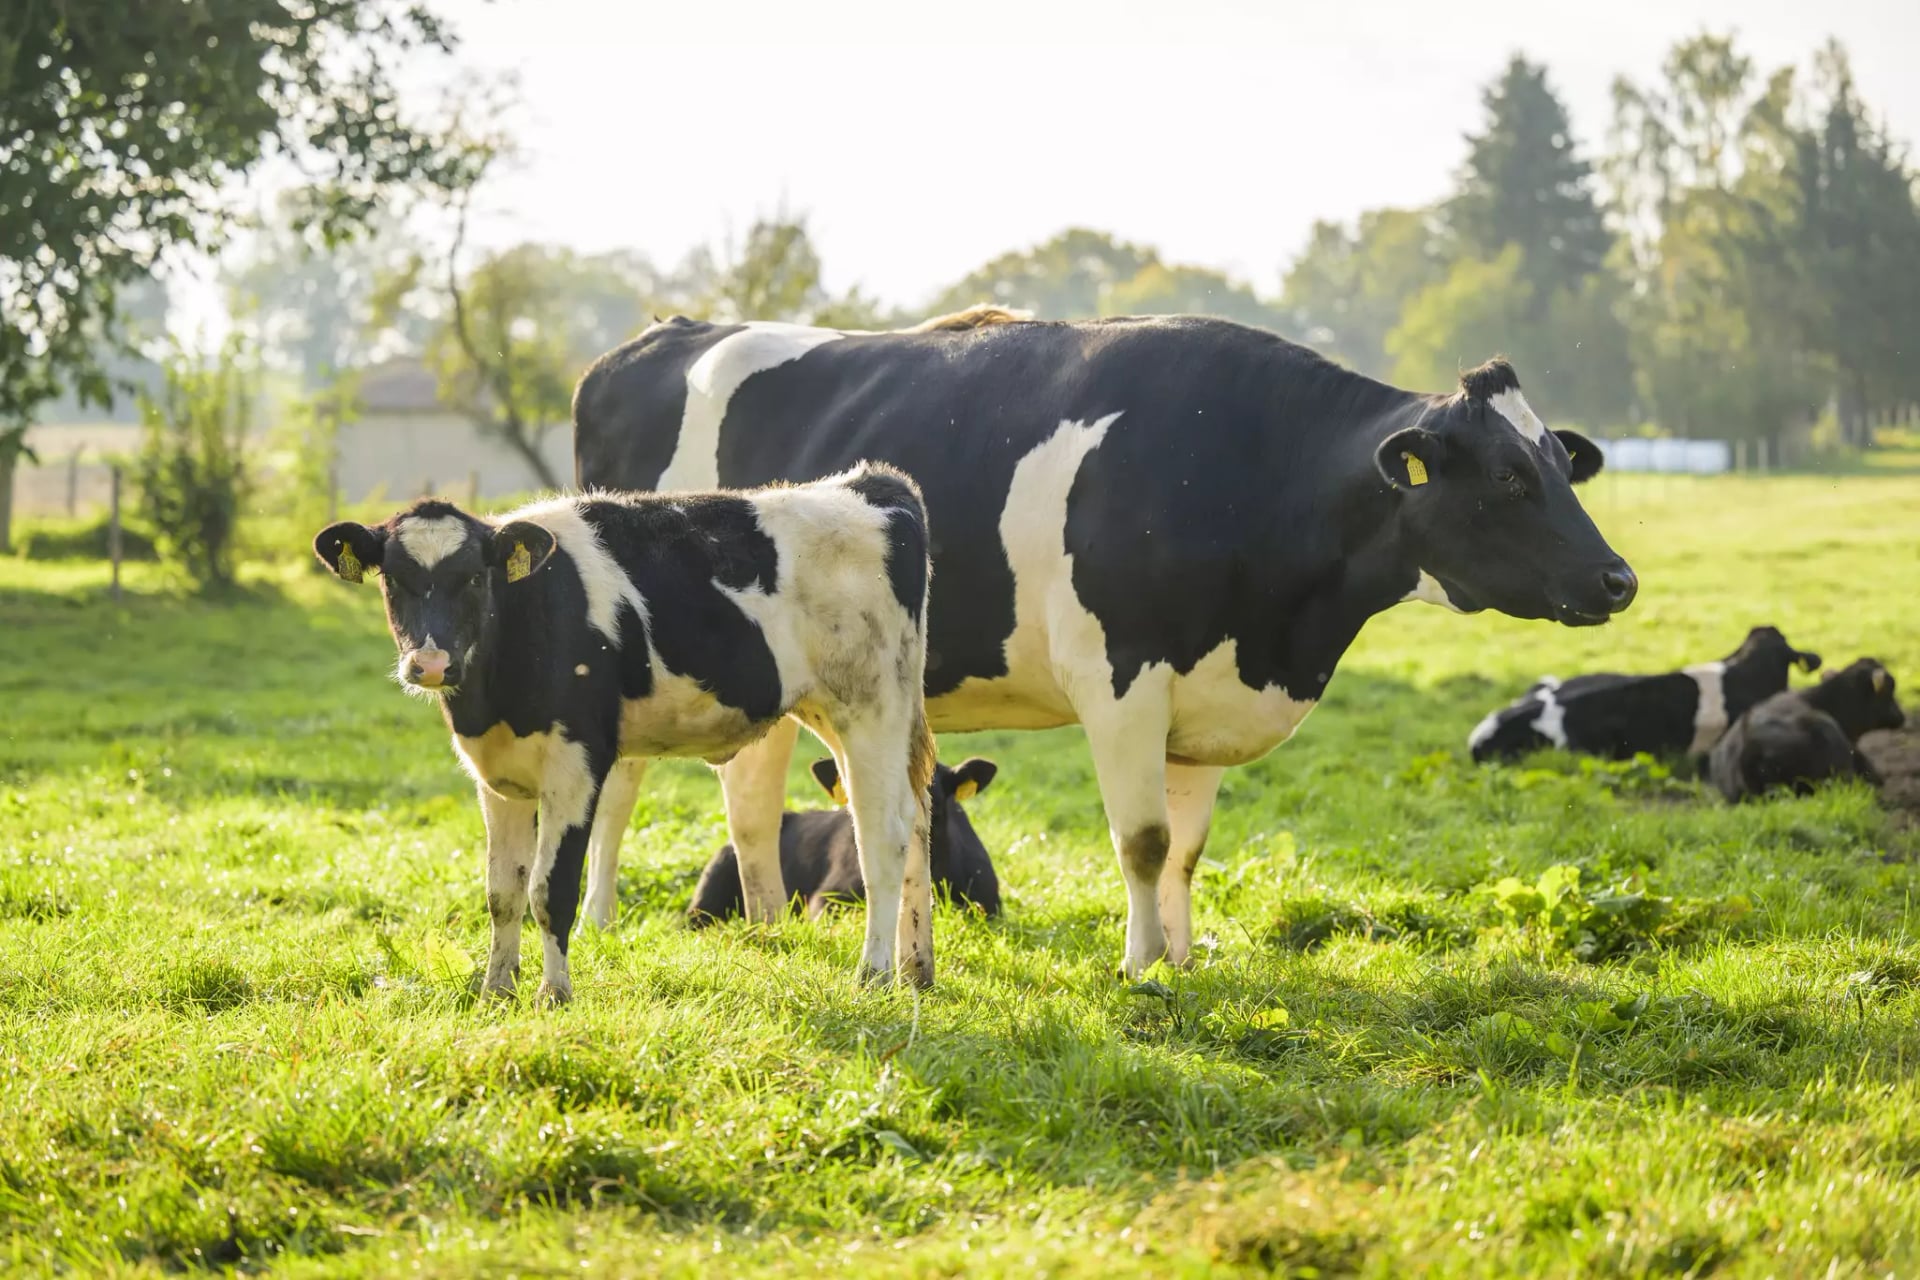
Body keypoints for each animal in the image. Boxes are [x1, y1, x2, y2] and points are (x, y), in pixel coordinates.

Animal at [310, 464, 937, 1002]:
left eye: (471, 578)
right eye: (394, 580)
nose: (431, 663)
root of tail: (872, 485)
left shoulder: (576, 763)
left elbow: (551, 890)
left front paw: (553, 994)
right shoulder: (496, 777)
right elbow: (502, 892)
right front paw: (496, 990)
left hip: (871, 709)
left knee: (881, 835)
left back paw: (875, 974)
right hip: (845, 715)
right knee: (916, 822)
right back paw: (916, 969)